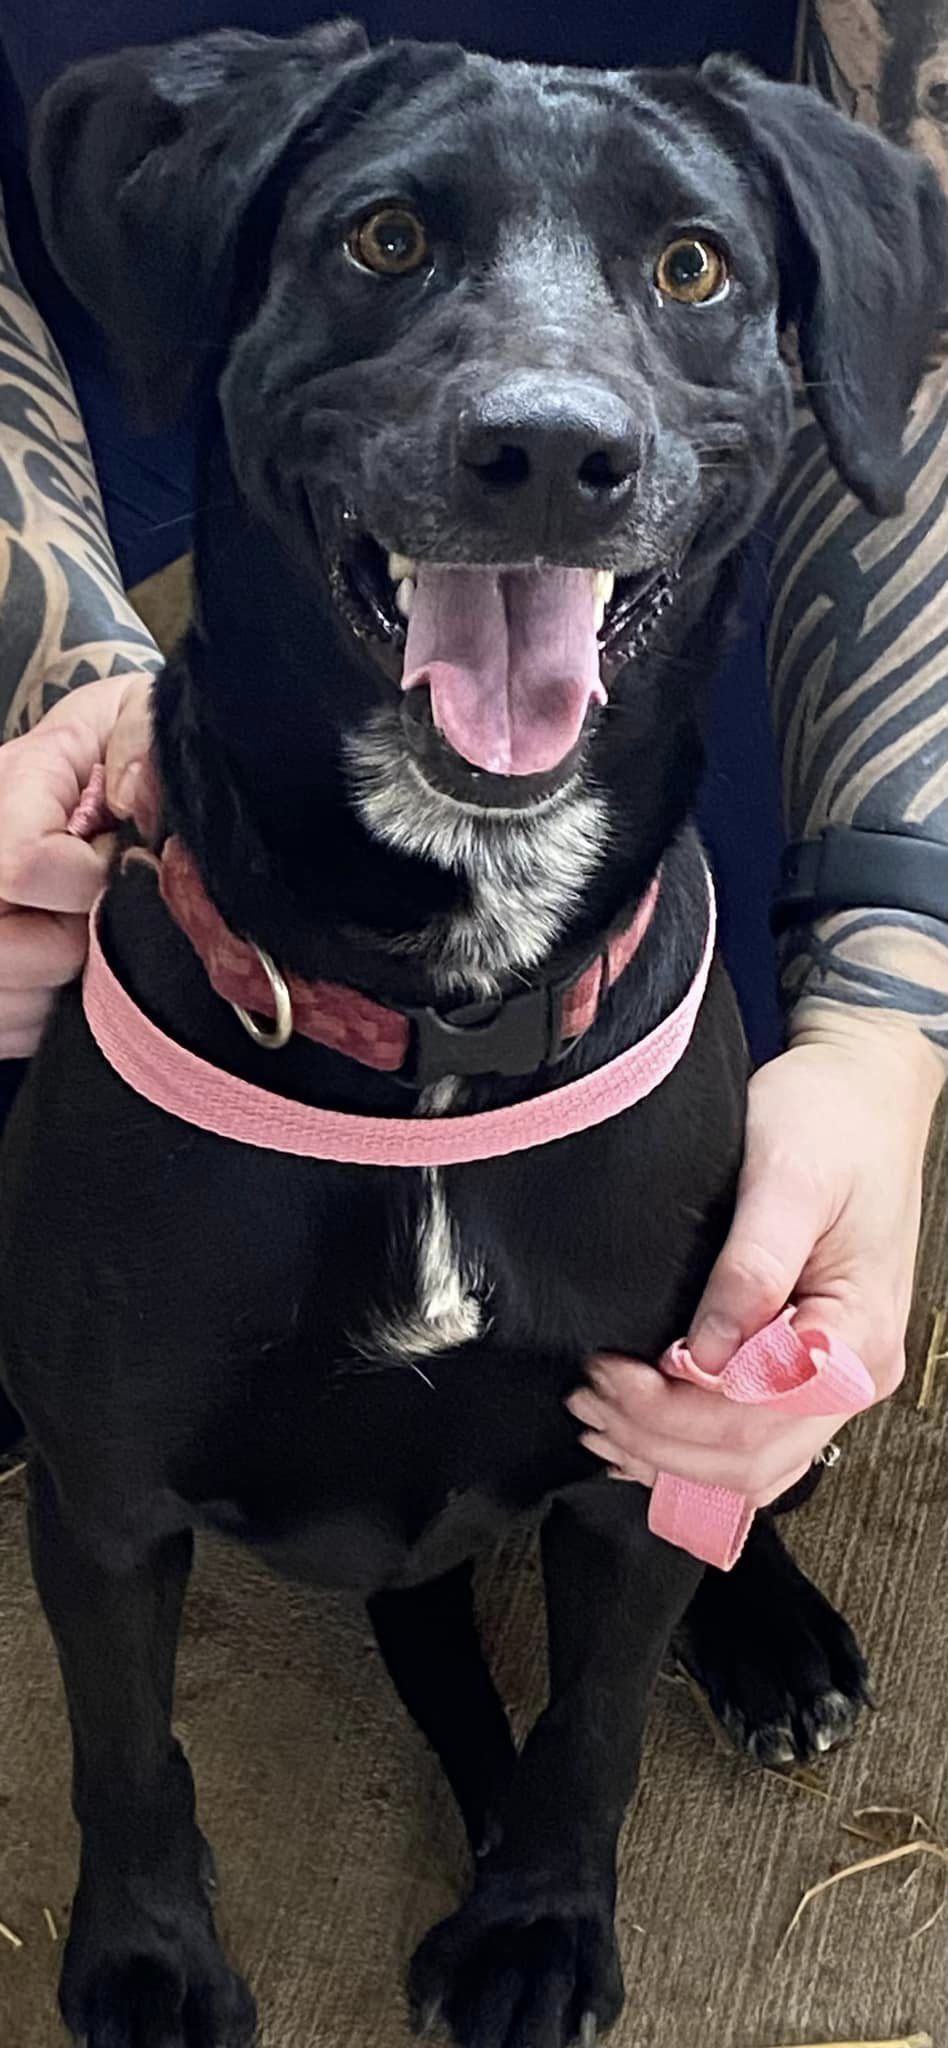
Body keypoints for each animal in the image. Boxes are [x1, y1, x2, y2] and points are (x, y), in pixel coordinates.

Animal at [1, 21, 943, 2048]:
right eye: (382, 238)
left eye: (692, 267)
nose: (552, 457)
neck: (445, 1013)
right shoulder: (107, 1497)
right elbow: (127, 1752)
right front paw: (148, 1958)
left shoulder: (634, 1446)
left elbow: (590, 1728)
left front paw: (536, 1921)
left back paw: (773, 1632)